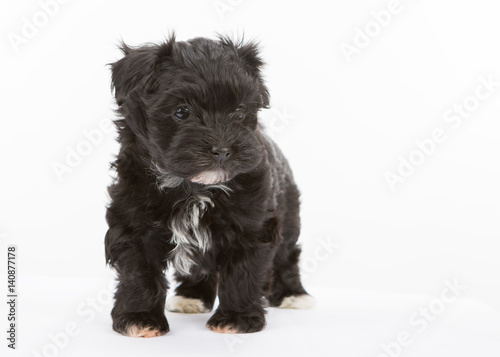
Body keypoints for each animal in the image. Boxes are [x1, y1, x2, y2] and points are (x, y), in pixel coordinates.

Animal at [104, 34, 312, 336]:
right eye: (182, 112)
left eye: (239, 112)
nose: (223, 150)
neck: (192, 186)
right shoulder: (134, 222)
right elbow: (138, 272)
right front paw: (139, 318)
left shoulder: (252, 225)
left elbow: (243, 272)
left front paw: (236, 318)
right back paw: (191, 297)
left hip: (288, 212)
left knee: (288, 254)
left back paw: (293, 294)